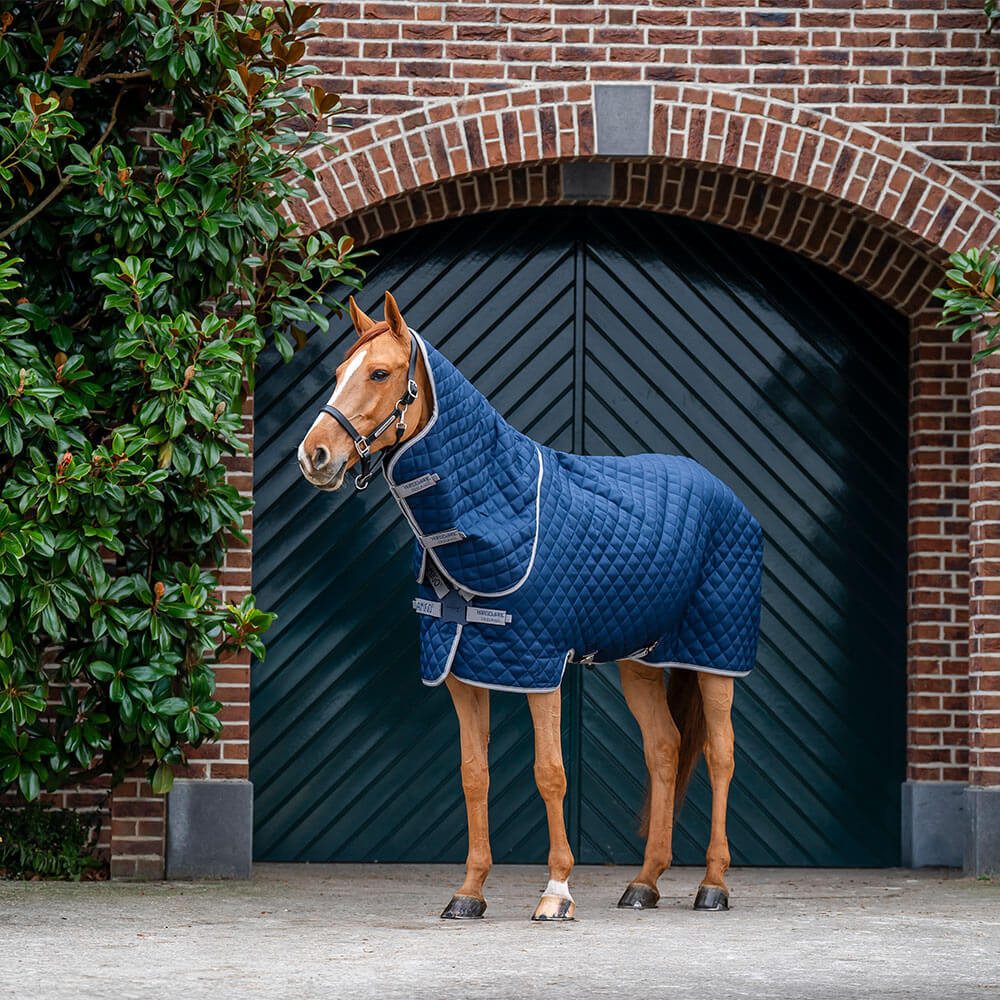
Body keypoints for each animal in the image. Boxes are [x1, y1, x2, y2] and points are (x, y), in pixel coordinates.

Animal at [298, 291, 764, 921]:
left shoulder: (539, 665)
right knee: (665, 749)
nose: (314, 456)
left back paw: (713, 884)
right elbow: (474, 774)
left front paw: (556, 891)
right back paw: (644, 883)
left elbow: (550, 773)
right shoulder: (463, 671)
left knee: (721, 754)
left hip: (716, 657)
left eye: (379, 373)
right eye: (338, 373)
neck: (497, 513)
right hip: (641, 660)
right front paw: (468, 892)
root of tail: (727, 497)